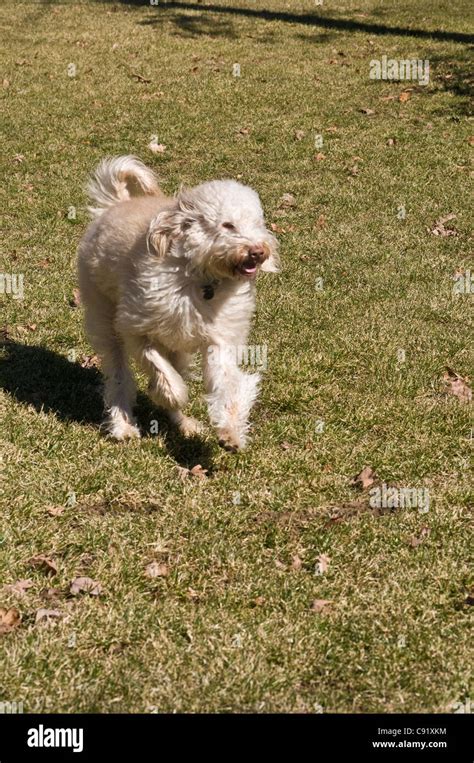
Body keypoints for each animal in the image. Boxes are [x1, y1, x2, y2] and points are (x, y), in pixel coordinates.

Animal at [77, 157, 278, 450]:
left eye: (257, 223)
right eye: (227, 225)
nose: (259, 252)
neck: (201, 277)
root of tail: (115, 204)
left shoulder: (219, 340)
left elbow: (226, 385)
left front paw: (230, 432)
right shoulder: (135, 329)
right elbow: (163, 374)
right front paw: (169, 393)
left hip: (177, 346)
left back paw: (184, 425)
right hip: (104, 317)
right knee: (118, 377)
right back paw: (123, 425)